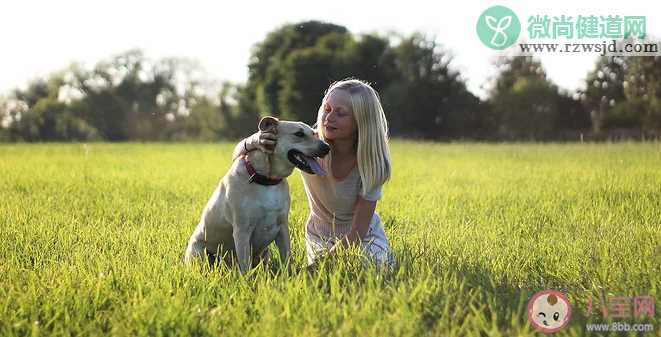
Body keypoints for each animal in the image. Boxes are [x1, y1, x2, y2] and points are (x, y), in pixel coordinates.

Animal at [184, 117, 328, 272]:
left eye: (314, 133)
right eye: (299, 134)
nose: (327, 147)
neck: (267, 180)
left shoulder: (283, 226)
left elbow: (286, 259)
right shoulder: (242, 231)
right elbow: (245, 267)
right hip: (199, 253)